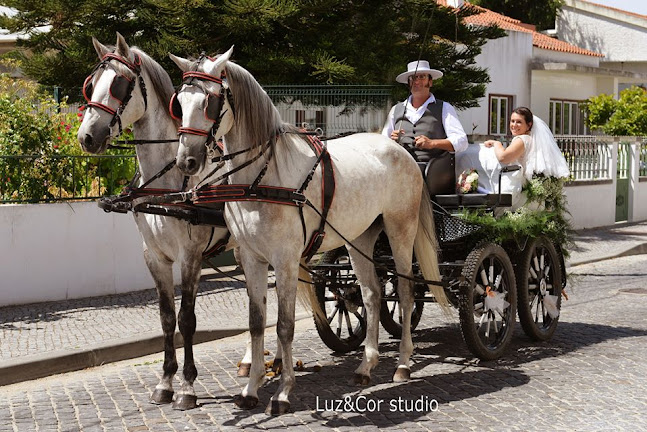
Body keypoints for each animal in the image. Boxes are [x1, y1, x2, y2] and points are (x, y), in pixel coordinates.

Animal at [78, 35, 270, 410]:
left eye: (119, 85)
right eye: (91, 85)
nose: (86, 137)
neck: (166, 182)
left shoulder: (190, 257)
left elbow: (187, 319)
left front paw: (187, 387)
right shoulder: (154, 257)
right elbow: (167, 318)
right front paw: (165, 382)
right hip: (245, 250)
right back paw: (250, 362)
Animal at [167, 48, 450, 416]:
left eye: (210, 102)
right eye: (179, 102)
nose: (186, 160)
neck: (262, 178)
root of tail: (401, 149)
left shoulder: (286, 260)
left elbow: (284, 325)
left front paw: (283, 392)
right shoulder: (252, 258)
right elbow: (257, 322)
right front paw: (250, 388)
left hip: (400, 229)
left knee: (404, 292)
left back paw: (402, 363)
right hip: (359, 237)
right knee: (372, 294)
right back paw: (366, 365)